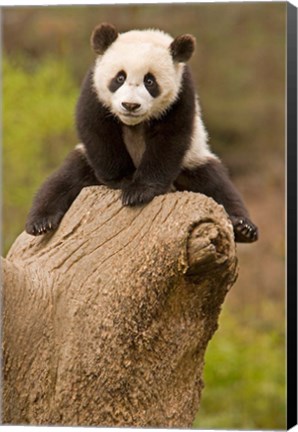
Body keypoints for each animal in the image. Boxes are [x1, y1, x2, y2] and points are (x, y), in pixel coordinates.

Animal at [25, 22, 258, 243]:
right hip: (85, 164)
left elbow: (169, 140)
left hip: (193, 161)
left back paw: (243, 227)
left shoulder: (181, 94)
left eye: (150, 81)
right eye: (119, 78)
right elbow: (97, 130)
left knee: (216, 185)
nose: (130, 105)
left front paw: (138, 191)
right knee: (62, 182)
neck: (133, 124)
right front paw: (124, 180)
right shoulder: (93, 89)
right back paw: (41, 222)